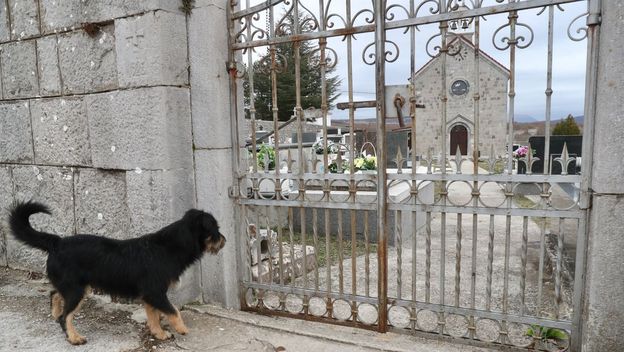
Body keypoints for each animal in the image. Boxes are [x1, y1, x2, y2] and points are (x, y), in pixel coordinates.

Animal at [8, 202, 225, 346]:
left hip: (73, 287)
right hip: (76, 290)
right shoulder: (155, 293)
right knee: (65, 316)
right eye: (215, 228)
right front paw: (180, 328)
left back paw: (55, 314)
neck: (169, 246)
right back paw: (74, 337)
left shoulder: (149, 296)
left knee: (54, 294)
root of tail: (57, 242)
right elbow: (173, 311)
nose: (224, 240)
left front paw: (159, 334)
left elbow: (154, 317)